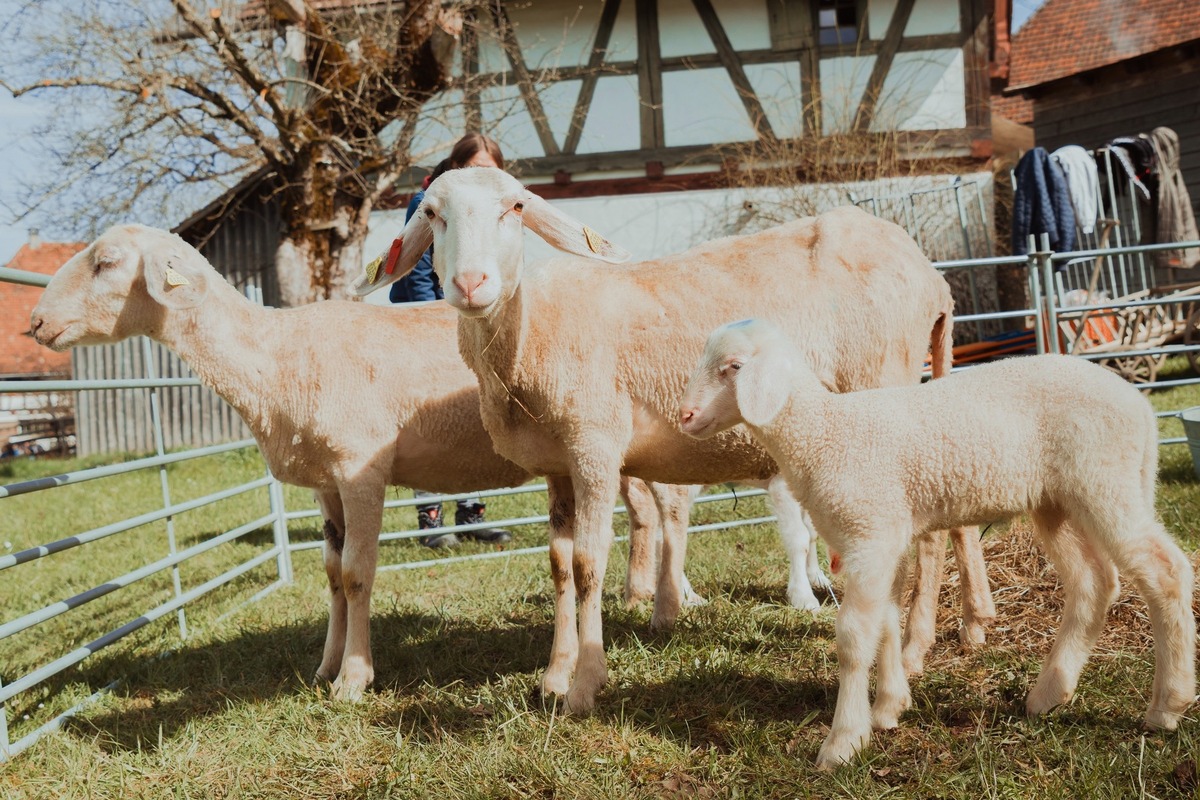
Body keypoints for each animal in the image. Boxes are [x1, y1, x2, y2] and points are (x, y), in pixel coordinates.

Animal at [352, 165, 993, 710]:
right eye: (432, 212)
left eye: (515, 207)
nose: (470, 283)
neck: (529, 335)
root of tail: (930, 275)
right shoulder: (556, 464)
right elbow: (559, 564)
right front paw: (555, 675)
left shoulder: (594, 446)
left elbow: (588, 563)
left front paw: (585, 683)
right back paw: (969, 625)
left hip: (883, 383)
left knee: (927, 529)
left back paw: (914, 648)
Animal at [681, 316, 1195, 767]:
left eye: (733, 366)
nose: (684, 415)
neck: (823, 434)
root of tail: (1140, 405)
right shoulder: (886, 536)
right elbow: (887, 621)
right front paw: (888, 709)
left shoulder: (869, 535)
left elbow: (854, 638)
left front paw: (843, 742)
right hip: (1061, 501)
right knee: (1094, 582)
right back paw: (1049, 693)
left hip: (1104, 481)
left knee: (1166, 571)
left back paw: (1167, 705)